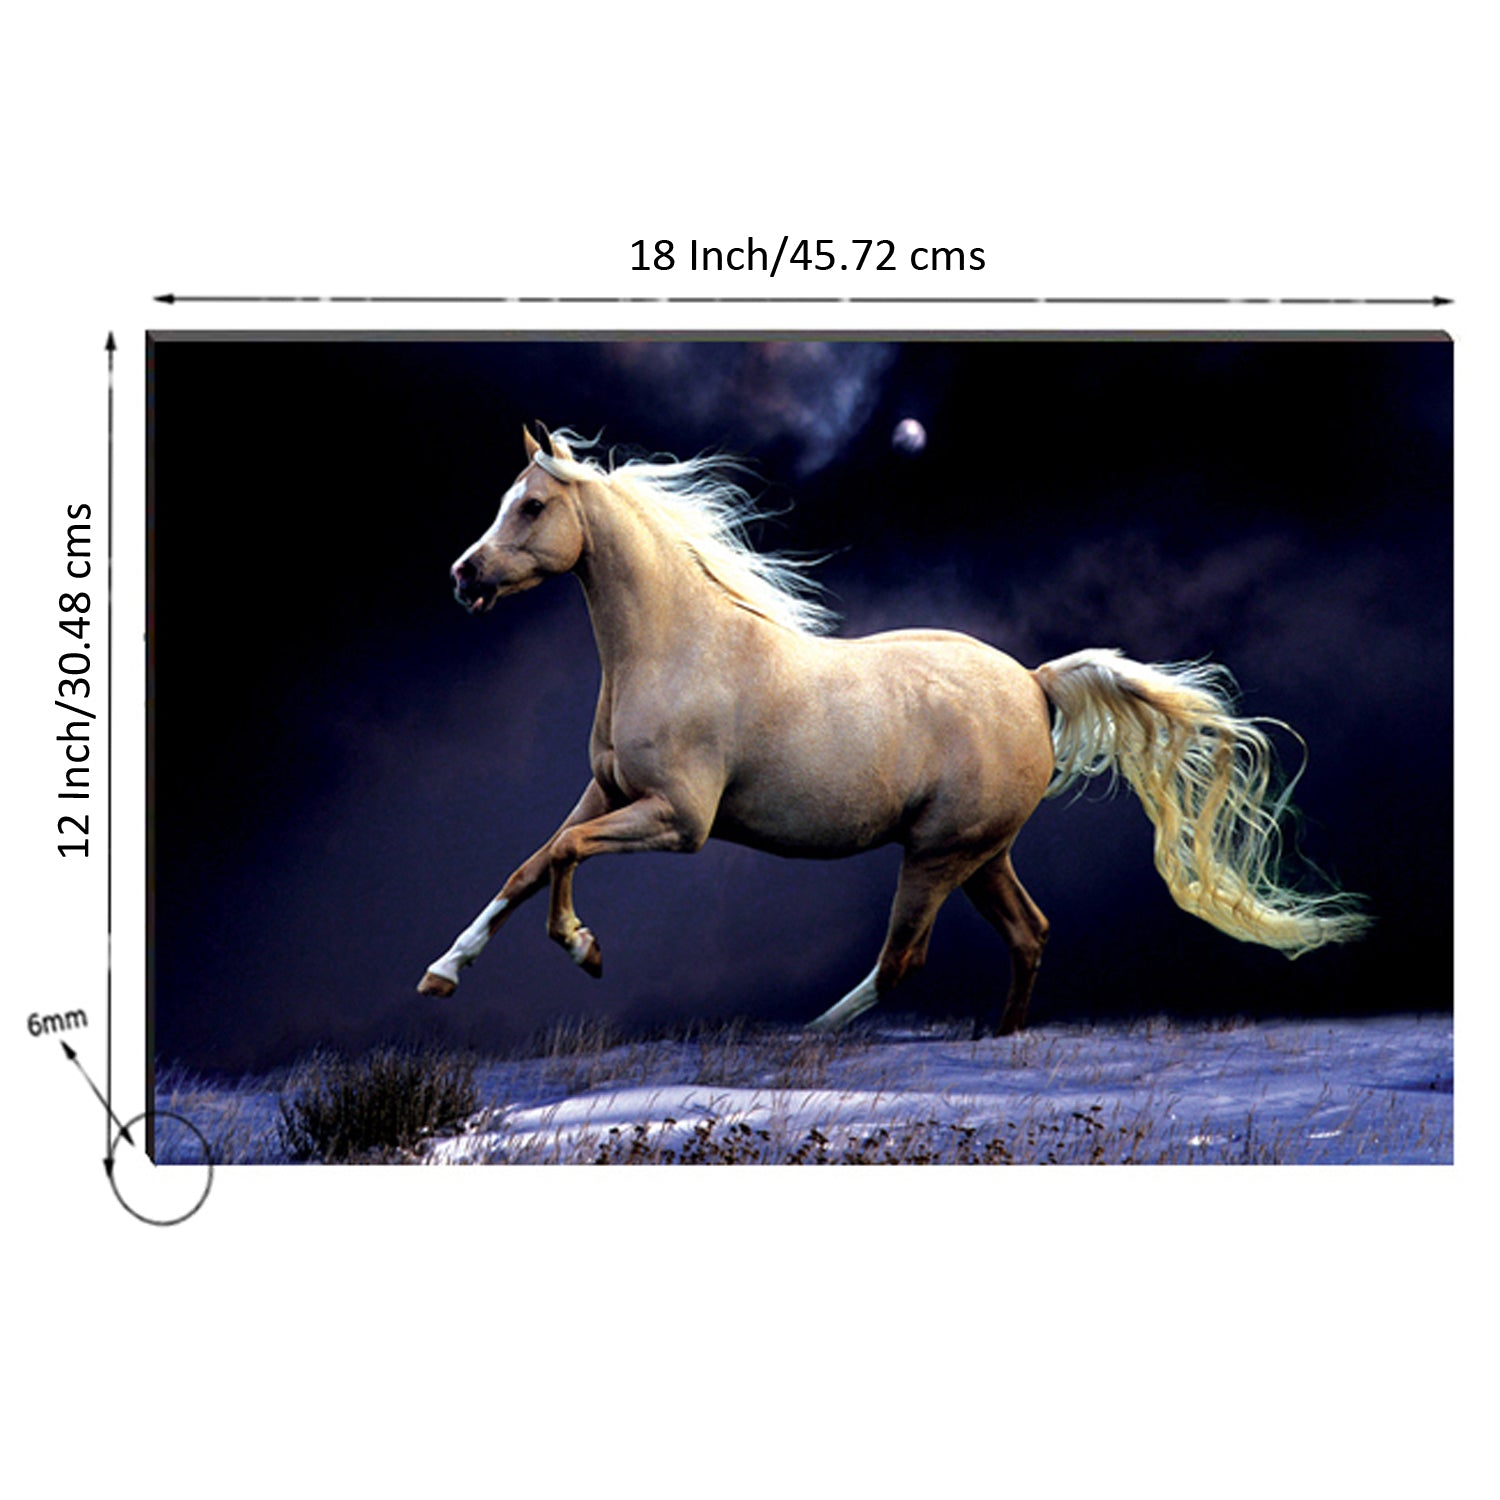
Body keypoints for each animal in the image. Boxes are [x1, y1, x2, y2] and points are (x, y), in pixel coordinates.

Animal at [417, 424, 1367, 1035]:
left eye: (531, 506)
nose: (463, 578)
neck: (681, 648)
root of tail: (1034, 684)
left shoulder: (678, 821)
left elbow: (563, 857)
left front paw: (584, 950)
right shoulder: (605, 791)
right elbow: (532, 862)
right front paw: (443, 973)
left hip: (938, 855)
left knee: (904, 959)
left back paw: (805, 1038)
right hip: (981, 855)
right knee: (1030, 931)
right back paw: (1001, 1038)